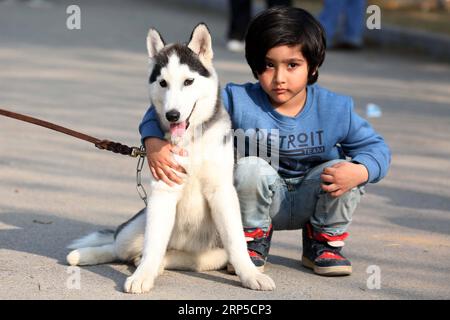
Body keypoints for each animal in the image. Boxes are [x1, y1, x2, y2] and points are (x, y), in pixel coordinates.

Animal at [66, 23, 274, 294]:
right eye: (163, 83)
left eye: (188, 81)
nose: (172, 115)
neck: (190, 141)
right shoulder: (163, 191)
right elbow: (153, 245)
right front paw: (143, 276)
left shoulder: (222, 192)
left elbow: (237, 242)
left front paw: (250, 275)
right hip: (137, 227)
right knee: (120, 246)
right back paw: (85, 255)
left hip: (211, 253)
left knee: (180, 256)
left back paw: (158, 262)